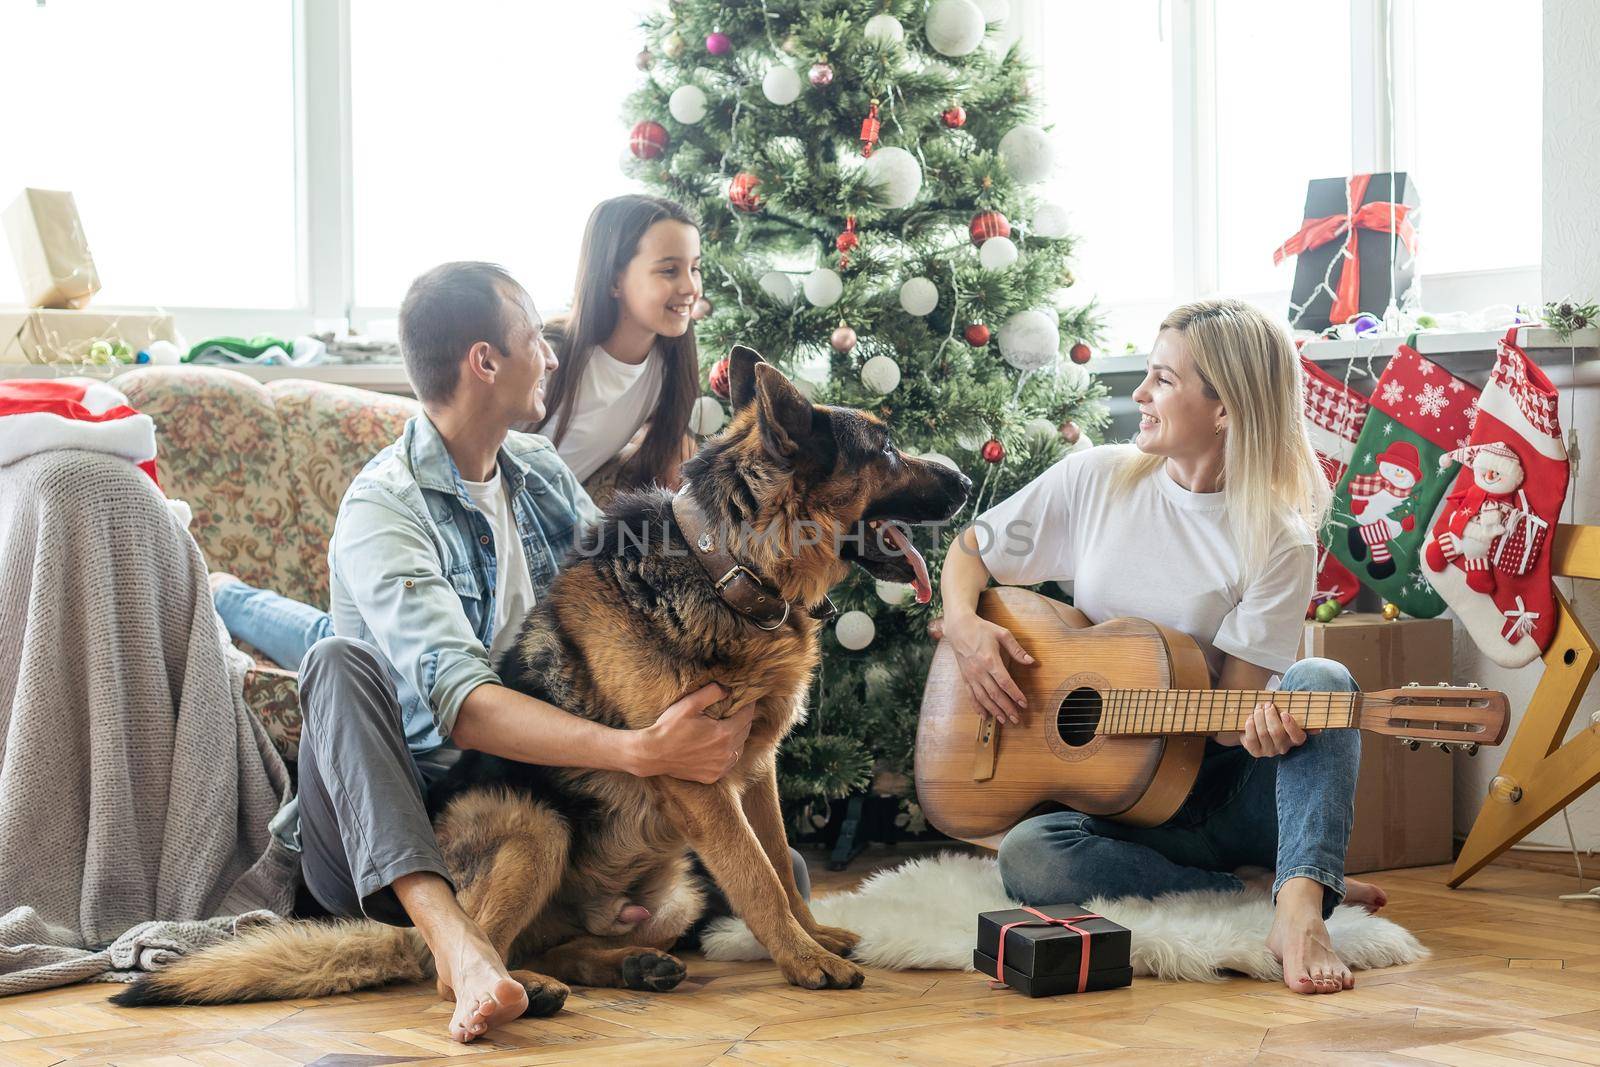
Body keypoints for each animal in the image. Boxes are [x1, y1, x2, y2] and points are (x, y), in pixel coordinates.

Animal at [116, 348, 960, 1017]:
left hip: (676, 887)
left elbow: (784, 865)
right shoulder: (700, 781)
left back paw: (622, 965)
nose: (963, 473)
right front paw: (806, 959)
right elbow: (757, 874)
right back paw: (512, 987)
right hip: (536, 823)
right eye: (886, 449)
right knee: (456, 959)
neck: (724, 566)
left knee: (552, 942)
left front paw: (811, 936)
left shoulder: (755, 773)